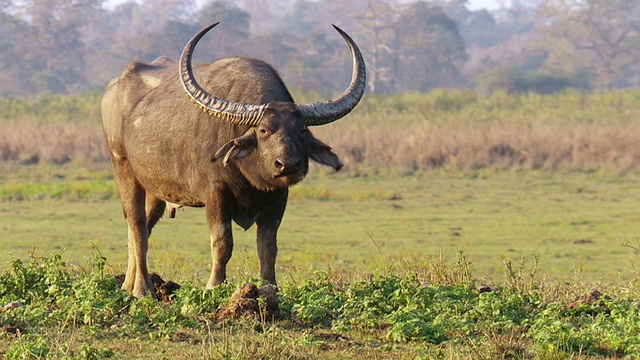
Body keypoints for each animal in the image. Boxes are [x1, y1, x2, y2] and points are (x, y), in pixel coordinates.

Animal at [100, 21, 364, 298]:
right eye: (263, 130)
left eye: (302, 130)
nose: (288, 164)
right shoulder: (216, 193)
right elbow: (222, 242)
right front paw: (214, 286)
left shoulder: (279, 198)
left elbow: (268, 247)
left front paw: (269, 288)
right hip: (123, 170)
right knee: (137, 226)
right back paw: (143, 289)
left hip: (155, 189)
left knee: (142, 228)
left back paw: (128, 285)